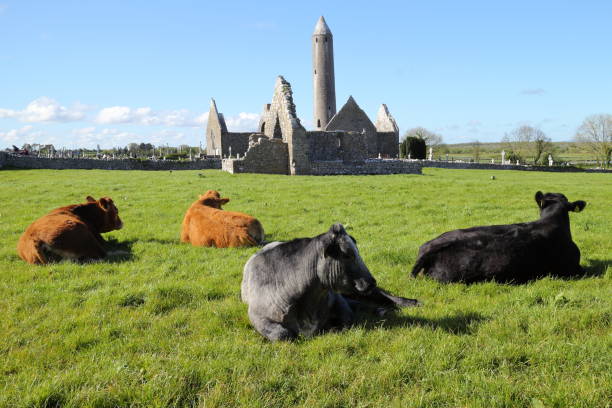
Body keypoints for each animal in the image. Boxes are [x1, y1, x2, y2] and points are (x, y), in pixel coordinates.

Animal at [240, 223, 420, 342]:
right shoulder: (257, 315)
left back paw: (410, 303)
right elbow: (282, 335)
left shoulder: (339, 301)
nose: (371, 281)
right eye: (346, 254)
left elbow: (346, 321)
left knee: (381, 296)